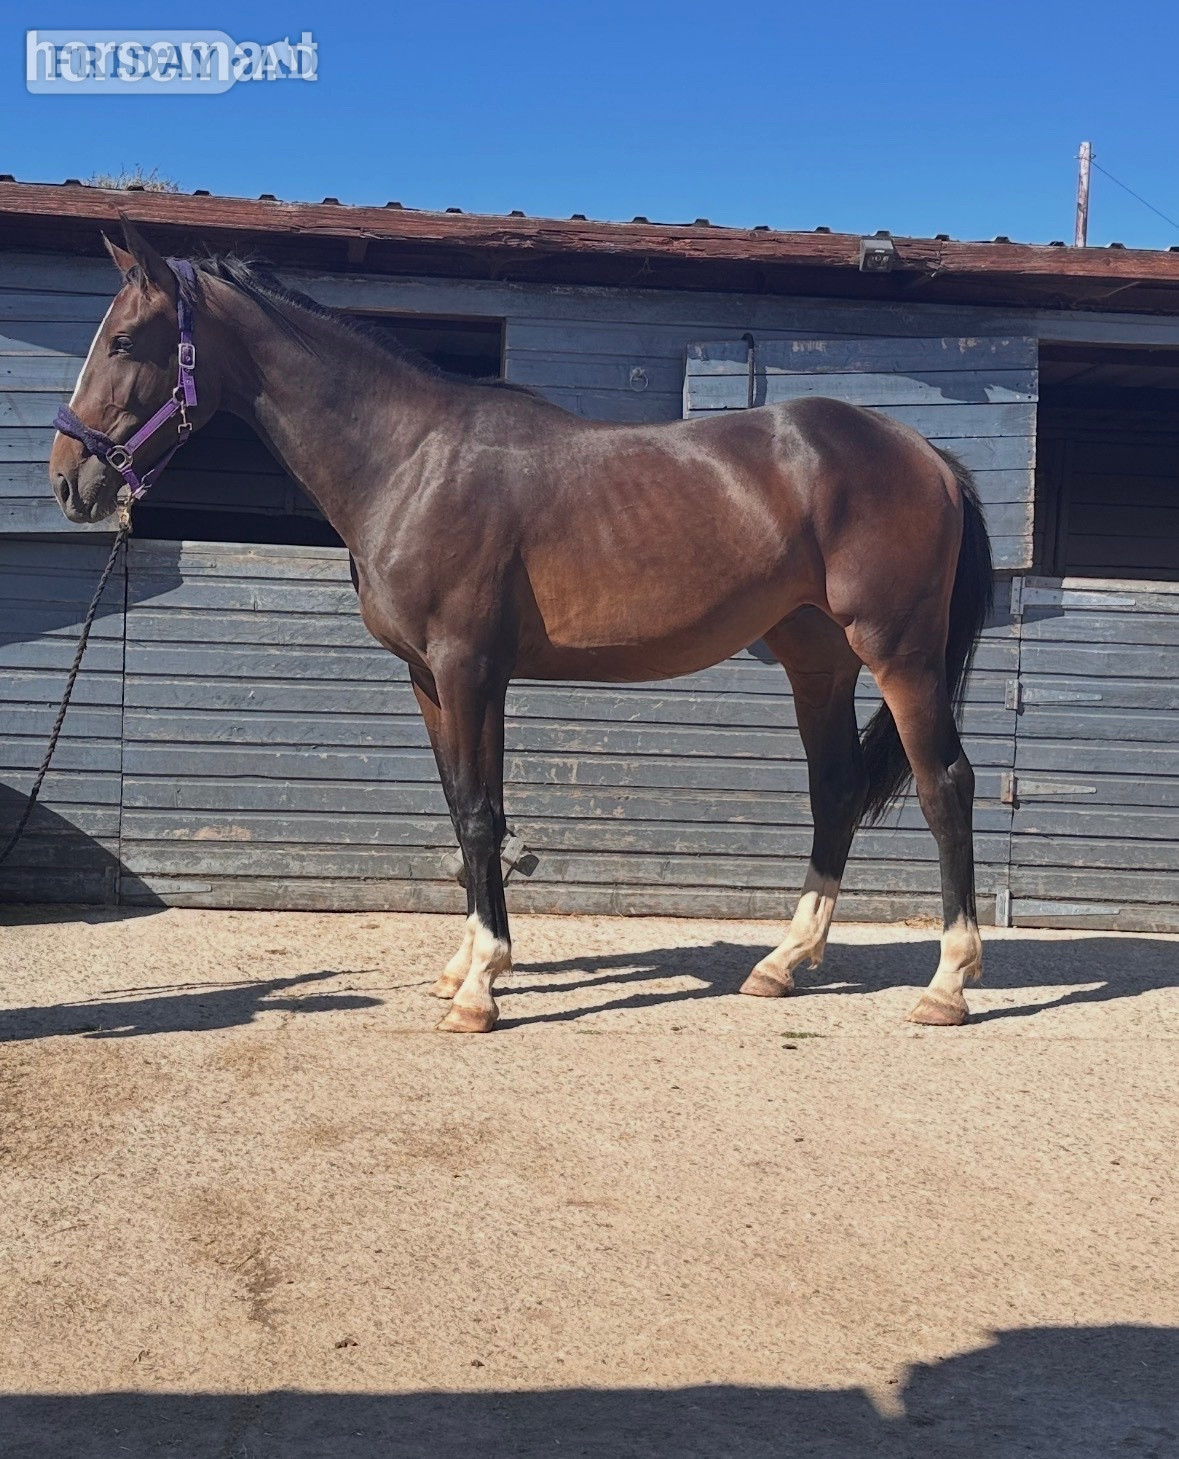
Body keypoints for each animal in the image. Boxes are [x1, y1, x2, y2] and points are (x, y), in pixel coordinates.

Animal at [50, 218, 993, 1034]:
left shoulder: (467, 666)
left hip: (899, 654)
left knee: (944, 783)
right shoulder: (435, 679)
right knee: (833, 788)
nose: (68, 482)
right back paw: (781, 963)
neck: (410, 459)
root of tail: (923, 452)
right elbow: (466, 807)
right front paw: (467, 963)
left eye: (124, 341)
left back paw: (947, 983)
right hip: (817, 660)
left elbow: (477, 813)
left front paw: (481, 989)